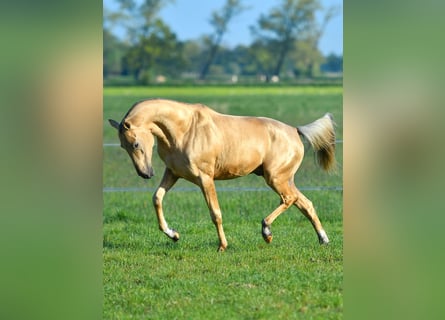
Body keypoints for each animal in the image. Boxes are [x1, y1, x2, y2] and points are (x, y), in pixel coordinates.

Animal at [108, 99, 336, 251]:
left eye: (135, 144)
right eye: (122, 146)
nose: (145, 173)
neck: (184, 129)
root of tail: (295, 131)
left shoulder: (205, 178)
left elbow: (215, 213)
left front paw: (222, 246)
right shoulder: (173, 173)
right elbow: (157, 198)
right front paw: (173, 235)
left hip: (275, 178)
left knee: (289, 199)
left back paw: (266, 232)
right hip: (283, 179)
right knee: (305, 203)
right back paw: (323, 239)